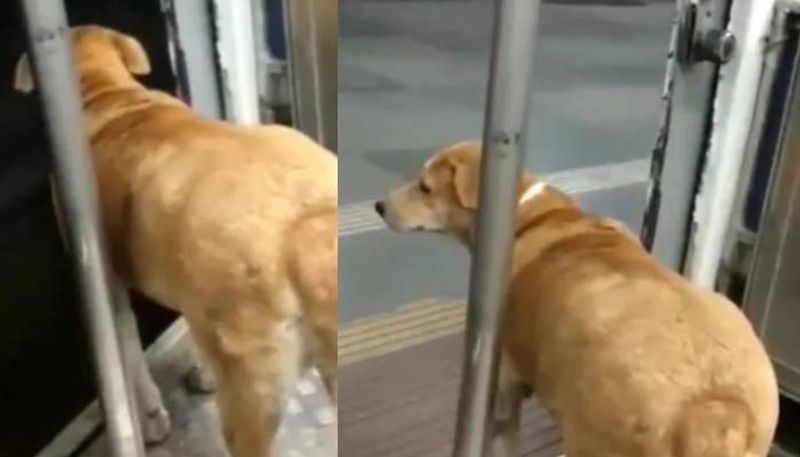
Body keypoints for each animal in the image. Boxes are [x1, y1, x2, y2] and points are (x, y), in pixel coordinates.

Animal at [16, 25, 334, 456]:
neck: (107, 92)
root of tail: (305, 223)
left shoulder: (109, 283)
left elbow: (129, 353)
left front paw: (149, 415)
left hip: (251, 398)